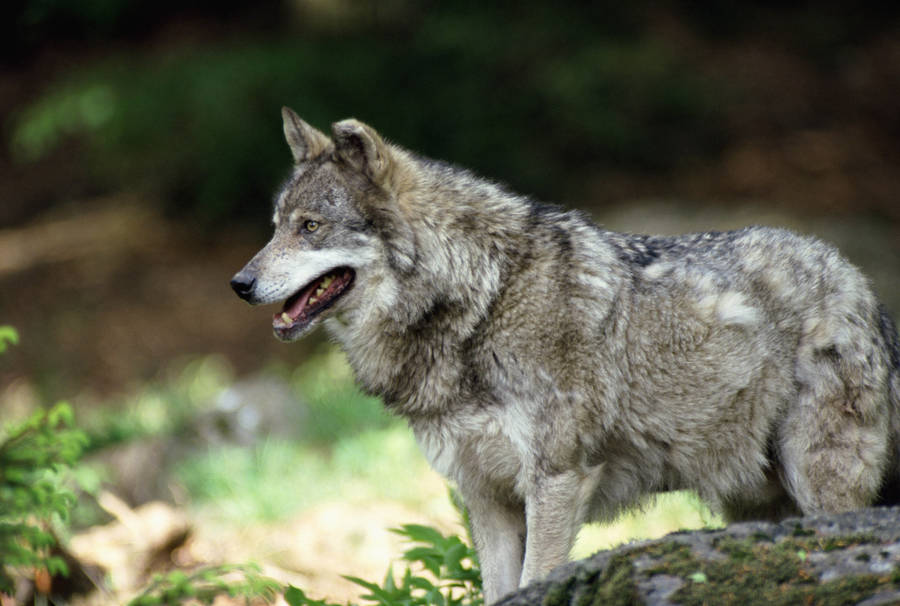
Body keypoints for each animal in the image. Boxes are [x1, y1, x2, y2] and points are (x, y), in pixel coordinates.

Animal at [231, 107, 900, 604]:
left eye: (310, 227)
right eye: (276, 225)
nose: (240, 283)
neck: (482, 300)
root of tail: (861, 285)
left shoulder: (556, 480)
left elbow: (535, 581)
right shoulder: (486, 499)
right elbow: (499, 591)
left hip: (816, 486)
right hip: (751, 503)